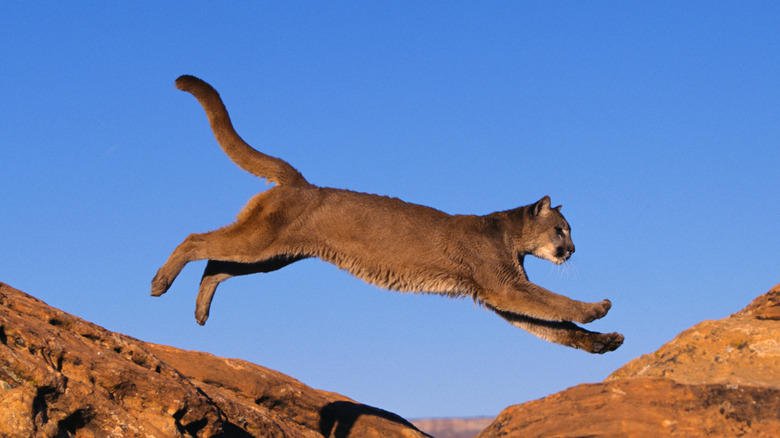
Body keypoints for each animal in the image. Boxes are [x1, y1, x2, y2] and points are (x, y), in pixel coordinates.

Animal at [155, 75, 624, 354]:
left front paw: (604, 342)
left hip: (274, 255)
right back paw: (159, 283)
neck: (509, 235)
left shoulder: (501, 295)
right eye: (561, 230)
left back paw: (200, 312)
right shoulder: (504, 287)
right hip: (262, 243)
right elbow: (555, 303)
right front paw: (598, 309)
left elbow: (556, 327)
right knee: (196, 240)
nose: (572, 250)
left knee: (218, 263)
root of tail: (301, 182)